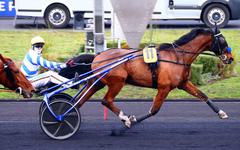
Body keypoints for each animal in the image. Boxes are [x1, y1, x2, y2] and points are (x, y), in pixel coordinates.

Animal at [62, 27, 233, 128]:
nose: (230, 58)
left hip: (97, 82)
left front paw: (222, 113)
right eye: (222, 40)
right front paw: (132, 120)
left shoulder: (183, 83)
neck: (178, 56)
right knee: (106, 100)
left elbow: (203, 95)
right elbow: (154, 110)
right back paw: (124, 118)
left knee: (78, 102)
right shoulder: (164, 88)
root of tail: (98, 55)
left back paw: (66, 116)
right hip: (117, 82)